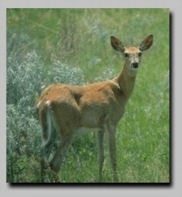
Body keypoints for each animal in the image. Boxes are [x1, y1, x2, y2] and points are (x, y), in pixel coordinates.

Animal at [37, 34, 154, 183]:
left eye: (140, 53)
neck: (120, 91)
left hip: (50, 131)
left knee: (43, 157)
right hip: (68, 129)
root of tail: (45, 100)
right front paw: (116, 180)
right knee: (54, 163)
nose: (135, 64)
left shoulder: (99, 127)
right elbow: (113, 155)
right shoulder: (111, 122)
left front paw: (100, 178)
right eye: (126, 54)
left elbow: (101, 156)